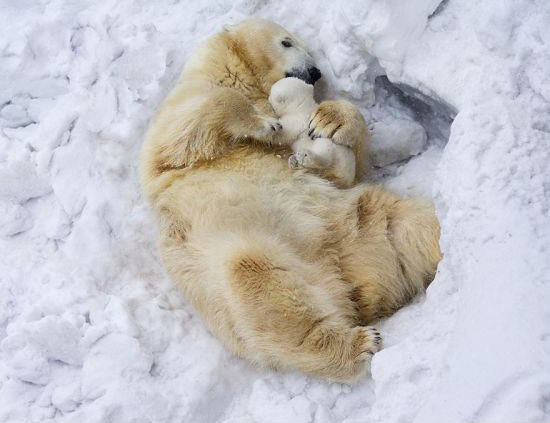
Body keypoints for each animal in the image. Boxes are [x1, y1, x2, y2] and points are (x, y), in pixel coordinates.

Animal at [140, 19, 442, 384]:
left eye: (308, 49)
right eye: (287, 42)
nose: (314, 71)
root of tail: (352, 282)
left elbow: (349, 168)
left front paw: (330, 119)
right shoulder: (178, 117)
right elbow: (188, 125)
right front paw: (265, 124)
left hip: (364, 222)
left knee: (415, 225)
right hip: (249, 255)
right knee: (258, 278)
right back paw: (356, 344)